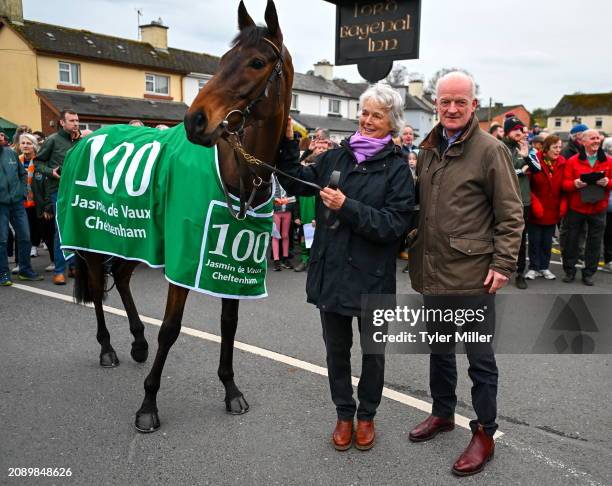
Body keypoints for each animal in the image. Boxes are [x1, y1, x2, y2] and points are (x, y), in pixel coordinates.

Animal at [69, 0, 294, 432]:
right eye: (222, 60)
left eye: (257, 61)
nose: (196, 120)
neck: (235, 172)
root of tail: (85, 137)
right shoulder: (184, 255)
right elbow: (171, 330)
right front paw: (148, 404)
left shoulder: (228, 261)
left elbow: (229, 324)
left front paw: (230, 389)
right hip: (92, 237)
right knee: (97, 282)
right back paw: (107, 348)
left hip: (135, 239)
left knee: (121, 277)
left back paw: (137, 341)